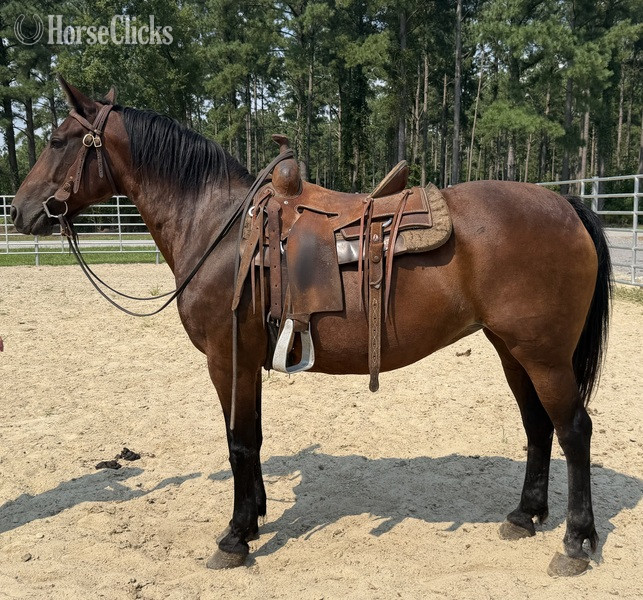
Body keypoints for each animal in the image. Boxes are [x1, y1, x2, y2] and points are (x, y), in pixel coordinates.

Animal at [10, 77, 611, 576]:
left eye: (58, 140)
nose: (18, 211)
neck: (220, 229)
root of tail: (565, 204)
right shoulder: (248, 360)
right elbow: (251, 437)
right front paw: (253, 517)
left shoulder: (226, 358)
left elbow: (237, 442)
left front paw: (234, 538)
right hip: (513, 350)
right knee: (538, 427)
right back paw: (524, 515)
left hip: (543, 354)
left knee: (573, 430)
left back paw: (576, 542)